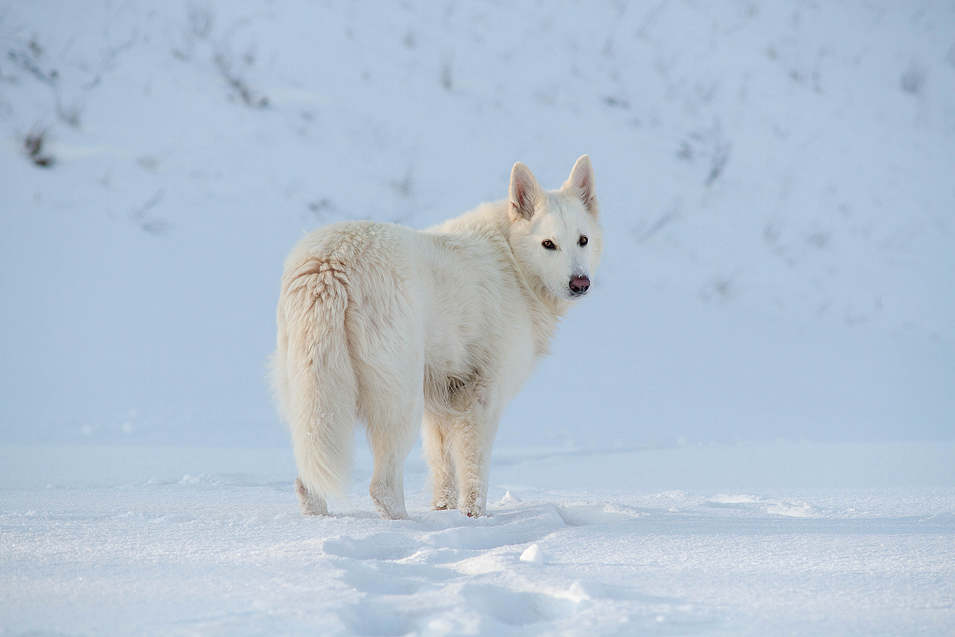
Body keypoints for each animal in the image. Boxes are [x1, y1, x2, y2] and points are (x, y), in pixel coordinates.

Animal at [268, 157, 600, 520]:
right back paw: (405, 525)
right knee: (382, 488)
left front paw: (444, 511)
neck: (512, 259)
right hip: (401, 403)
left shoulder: (442, 405)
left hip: (311, 402)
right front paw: (473, 520)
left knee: (307, 481)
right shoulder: (483, 400)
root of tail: (330, 264)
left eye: (582, 240)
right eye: (548, 244)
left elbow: (445, 473)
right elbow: (474, 476)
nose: (580, 283)